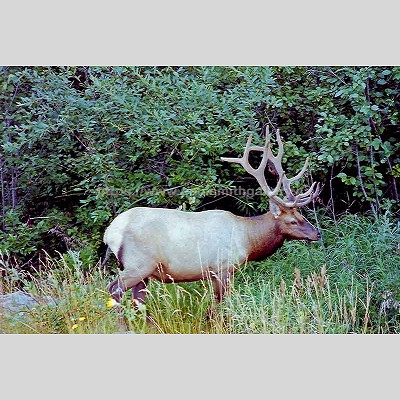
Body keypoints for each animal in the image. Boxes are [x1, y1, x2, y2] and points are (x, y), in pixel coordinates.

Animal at [104, 126, 322, 314]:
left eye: (302, 215)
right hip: (138, 264)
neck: (248, 239)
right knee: (113, 291)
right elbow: (218, 307)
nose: (317, 234)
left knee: (137, 303)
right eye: (292, 221)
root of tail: (110, 233)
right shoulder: (222, 268)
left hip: (142, 272)